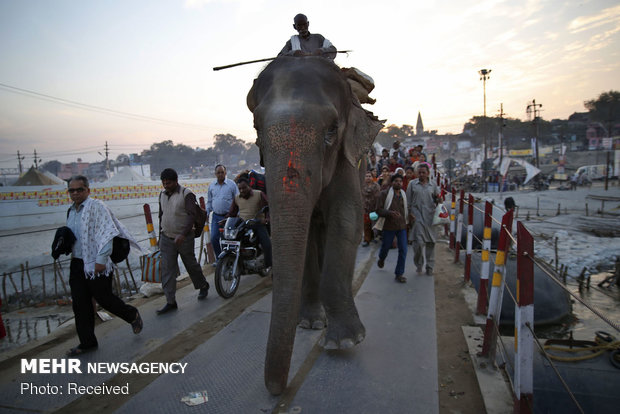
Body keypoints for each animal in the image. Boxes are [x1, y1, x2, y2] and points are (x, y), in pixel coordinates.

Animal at [246, 55, 382, 394]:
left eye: (332, 129)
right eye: (256, 128)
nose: (277, 389)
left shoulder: (348, 159)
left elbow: (346, 220)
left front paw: (345, 341)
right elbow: (304, 232)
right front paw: (310, 324)